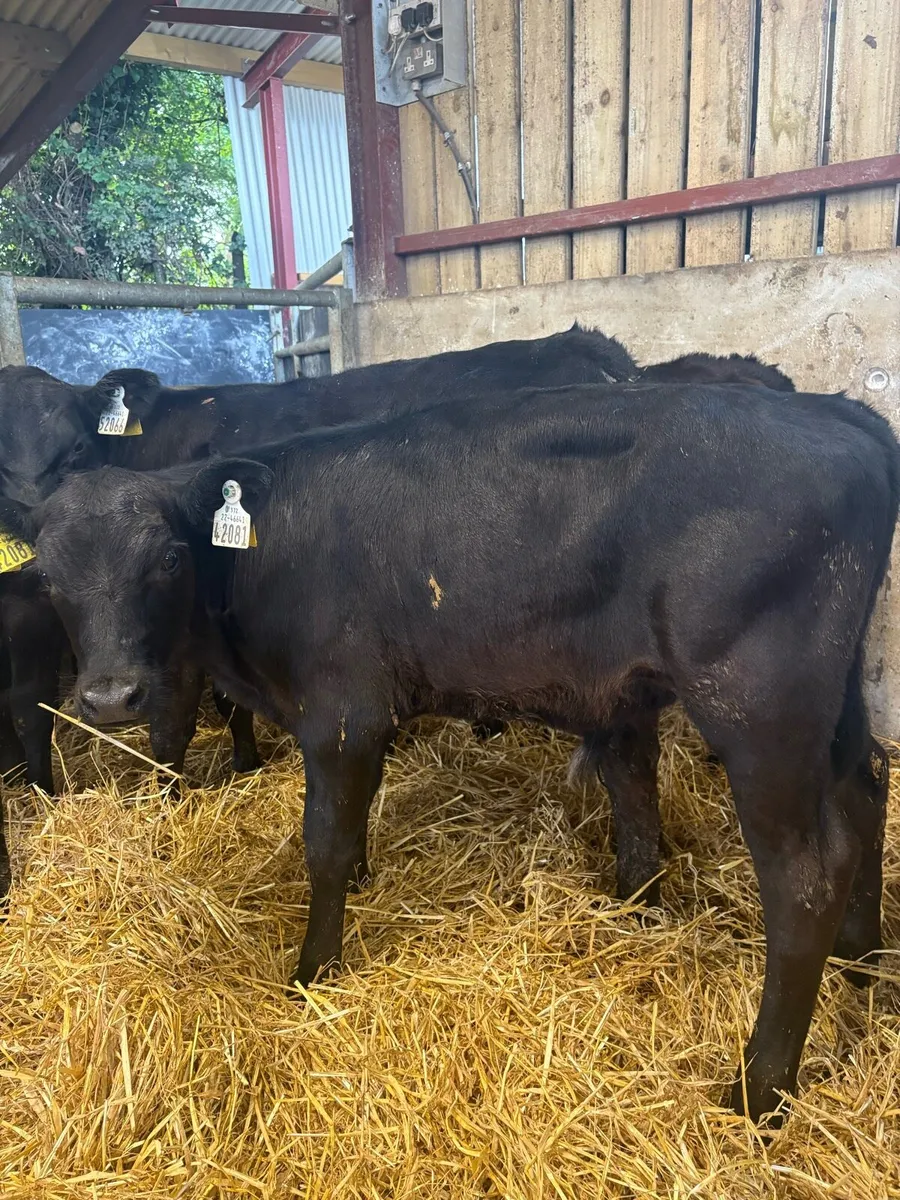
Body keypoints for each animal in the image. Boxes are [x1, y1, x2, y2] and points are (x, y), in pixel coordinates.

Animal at [25, 378, 897, 1124]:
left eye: (168, 558)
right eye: (47, 578)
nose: (110, 698)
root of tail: (839, 413)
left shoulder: (341, 711)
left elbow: (324, 841)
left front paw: (313, 970)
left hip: (761, 708)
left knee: (807, 878)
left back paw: (759, 1089)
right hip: (836, 700)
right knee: (866, 792)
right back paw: (861, 957)